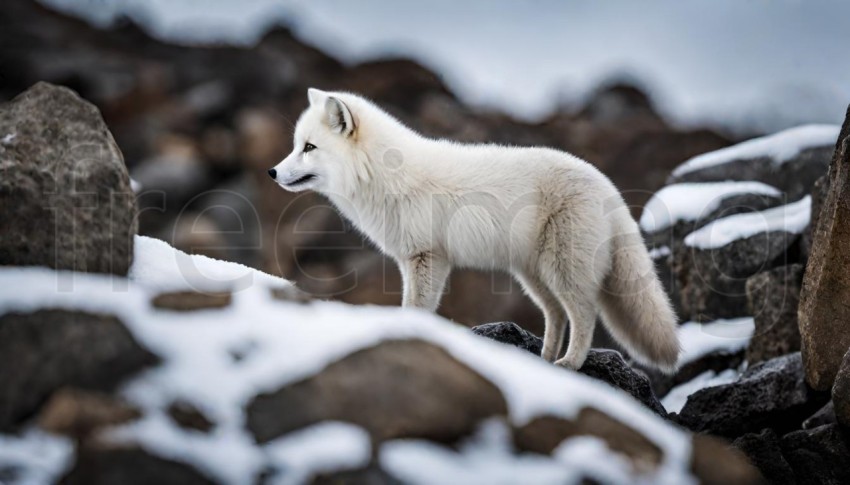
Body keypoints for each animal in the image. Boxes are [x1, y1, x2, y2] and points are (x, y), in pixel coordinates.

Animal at [268, 88, 680, 370]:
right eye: (296, 145)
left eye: (309, 147)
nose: (272, 172)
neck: (386, 176)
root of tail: (608, 186)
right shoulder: (413, 260)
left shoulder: (427, 258)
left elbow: (416, 308)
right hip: (532, 276)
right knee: (557, 315)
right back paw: (543, 360)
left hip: (563, 271)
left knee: (584, 315)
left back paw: (569, 363)